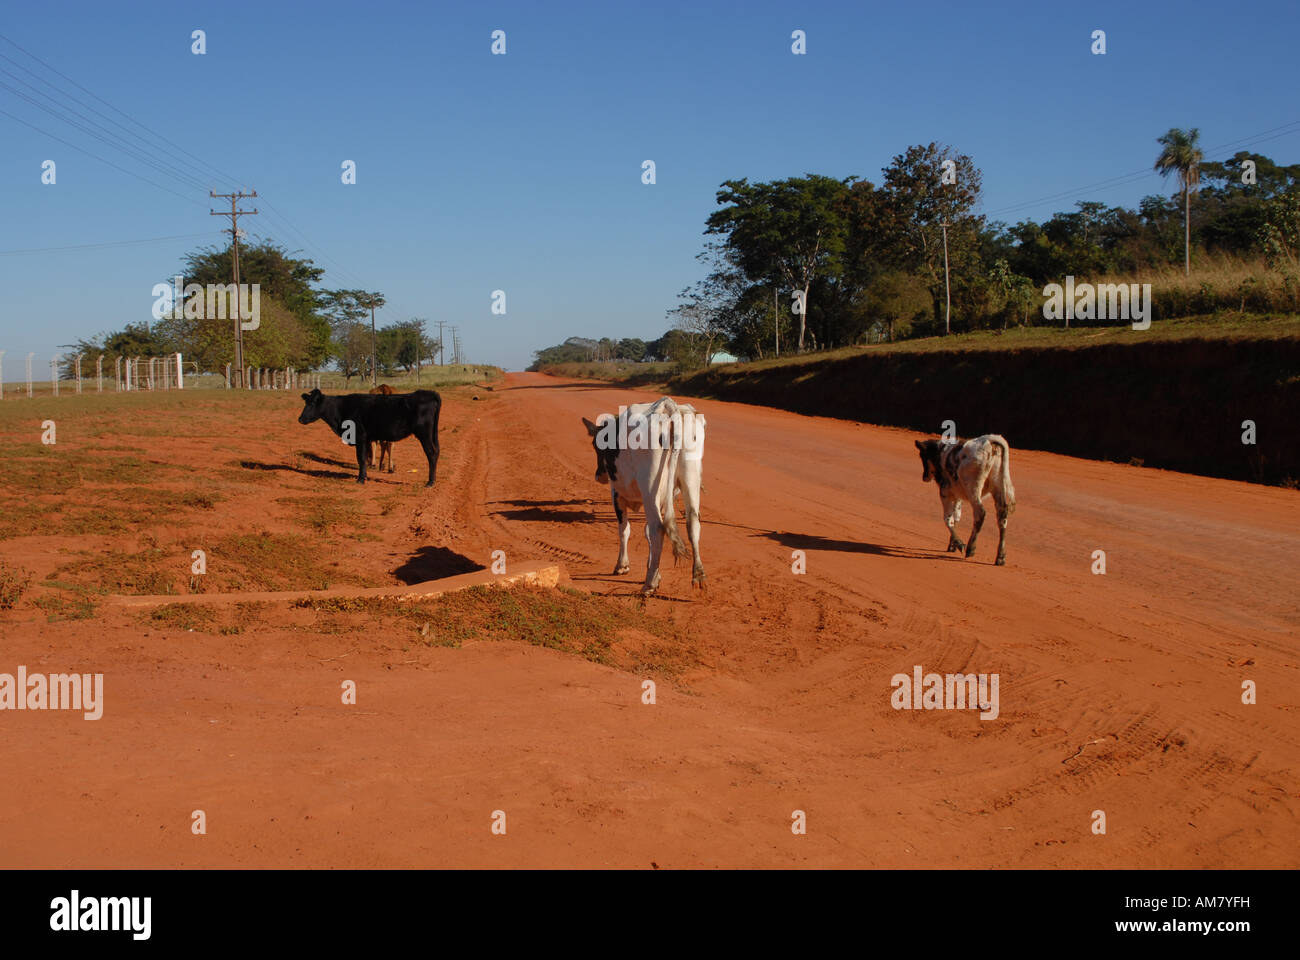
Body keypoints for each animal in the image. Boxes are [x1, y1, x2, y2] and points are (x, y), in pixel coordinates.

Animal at [296, 385, 441, 481]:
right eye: (306, 402)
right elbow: (364, 458)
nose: (300, 419)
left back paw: (430, 482)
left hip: (424, 434)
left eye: (313, 403)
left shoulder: (360, 436)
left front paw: (360, 479)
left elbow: (360, 458)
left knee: (431, 453)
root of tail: (428, 393)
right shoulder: (365, 439)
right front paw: (364, 476)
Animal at [585, 395, 707, 590]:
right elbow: (646, 532)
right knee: (693, 523)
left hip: (650, 486)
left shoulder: (616, 494)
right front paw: (653, 569)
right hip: (691, 478)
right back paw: (698, 575)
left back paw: (649, 584)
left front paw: (623, 565)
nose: (599, 475)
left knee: (658, 528)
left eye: (597, 446)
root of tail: (668, 406)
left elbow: (625, 529)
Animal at [915, 431, 1013, 561]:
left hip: (973, 489)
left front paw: (959, 544)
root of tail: (990, 441)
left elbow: (948, 519)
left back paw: (971, 548)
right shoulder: (957, 495)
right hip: (997, 487)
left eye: (922, 456)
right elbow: (956, 517)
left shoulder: (945, 493)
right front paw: (952, 546)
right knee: (1002, 516)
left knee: (980, 513)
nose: (924, 477)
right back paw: (1000, 556)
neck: (940, 453)